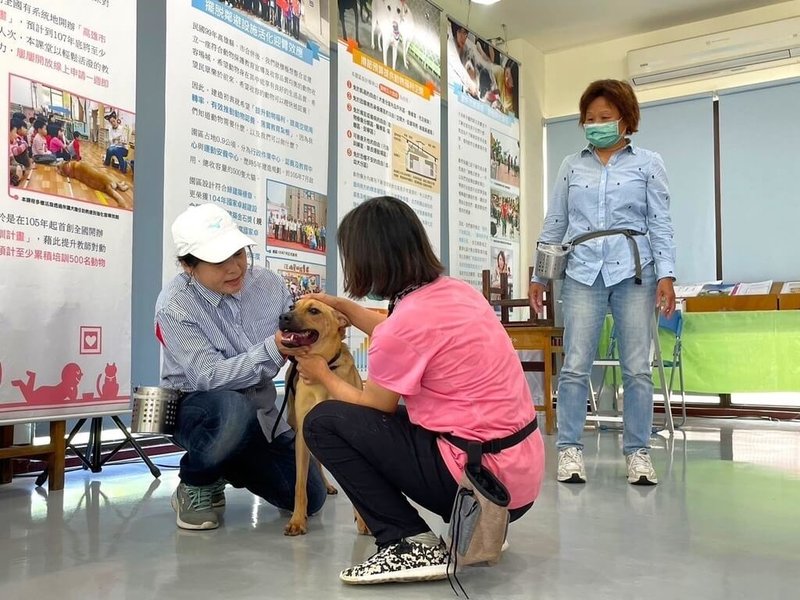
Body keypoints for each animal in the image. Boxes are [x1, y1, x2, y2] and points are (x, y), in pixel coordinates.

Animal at [278, 298, 368, 536]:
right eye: (292, 307)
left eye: (314, 310)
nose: (282, 317)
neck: (324, 367)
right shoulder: (302, 435)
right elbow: (300, 485)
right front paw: (297, 520)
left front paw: (363, 520)